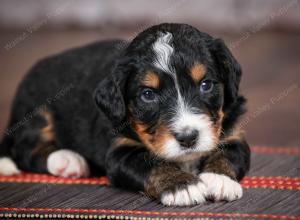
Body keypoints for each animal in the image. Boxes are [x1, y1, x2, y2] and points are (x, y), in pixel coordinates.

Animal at [0, 23, 250, 205]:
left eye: (206, 85)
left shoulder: (234, 133)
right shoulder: (120, 152)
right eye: (148, 95)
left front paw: (219, 179)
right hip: (37, 109)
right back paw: (67, 160)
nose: (188, 138)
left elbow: (229, 154)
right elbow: (150, 163)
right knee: (25, 150)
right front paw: (182, 186)